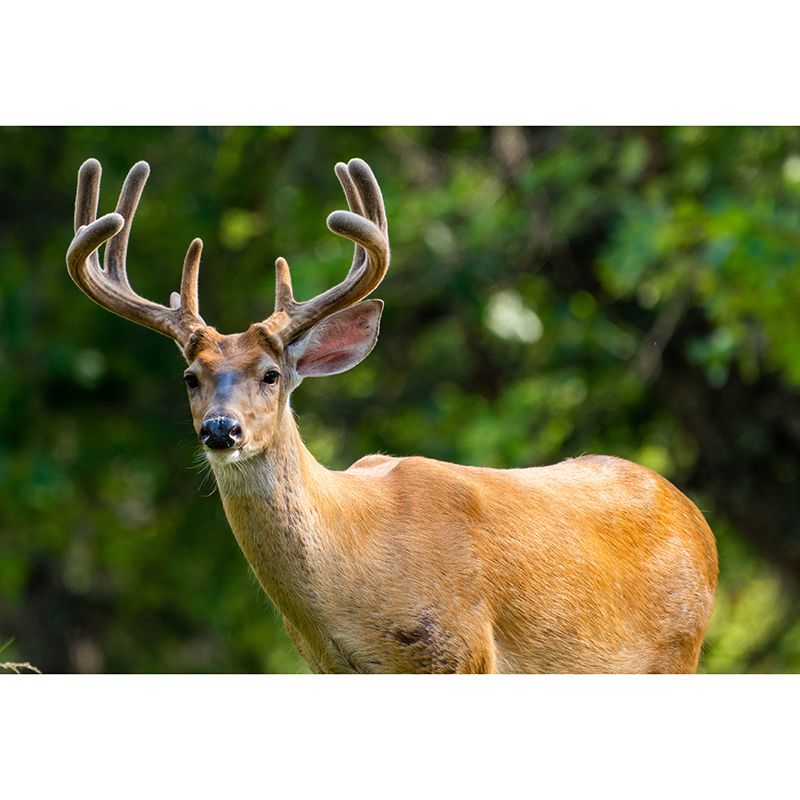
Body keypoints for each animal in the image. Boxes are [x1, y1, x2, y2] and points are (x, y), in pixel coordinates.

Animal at [66, 156, 718, 673]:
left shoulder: (462, 649)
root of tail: (696, 520)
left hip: (677, 652)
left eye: (272, 375)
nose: (221, 429)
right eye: (190, 378)